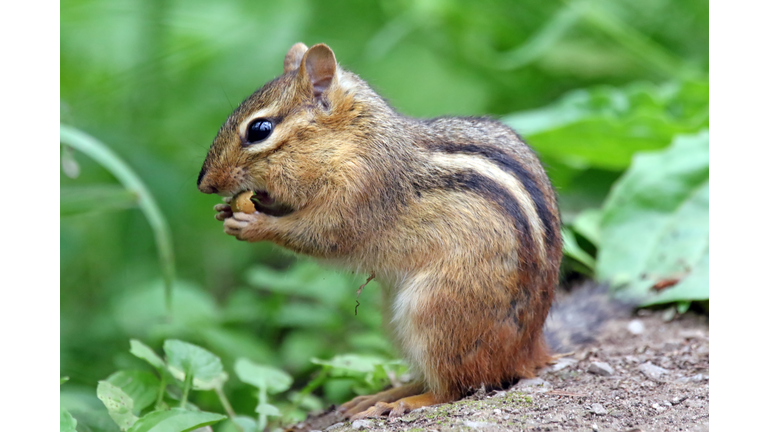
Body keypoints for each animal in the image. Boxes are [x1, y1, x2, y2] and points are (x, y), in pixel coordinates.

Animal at [197, 42, 563, 419]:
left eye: (260, 129)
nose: (204, 184)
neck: (353, 140)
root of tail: (527, 353)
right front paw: (226, 209)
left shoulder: (358, 196)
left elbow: (320, 236)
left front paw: (254, 224)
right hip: (395, 319)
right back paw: (377, 396)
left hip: (434, 311)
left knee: (453, 387)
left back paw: (400, 402)